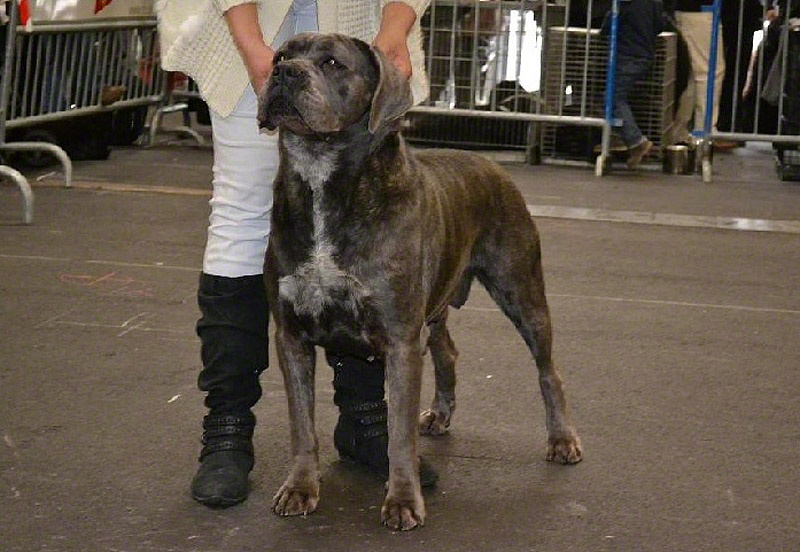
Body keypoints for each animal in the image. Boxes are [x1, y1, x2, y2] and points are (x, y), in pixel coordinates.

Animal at [258, 33, 582, 531]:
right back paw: (441, 414)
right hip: (436, 306)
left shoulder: (399, 339)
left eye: (332, 63)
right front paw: (300, 488)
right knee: (447, 351)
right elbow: (302, 425)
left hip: (522, 291)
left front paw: (403, 500)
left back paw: (562, 439)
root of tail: (494, 166)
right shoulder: (291, 335)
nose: (283, 73)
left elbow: (399, 435)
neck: (322, 181)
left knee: (549, 369)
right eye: (280, 55)